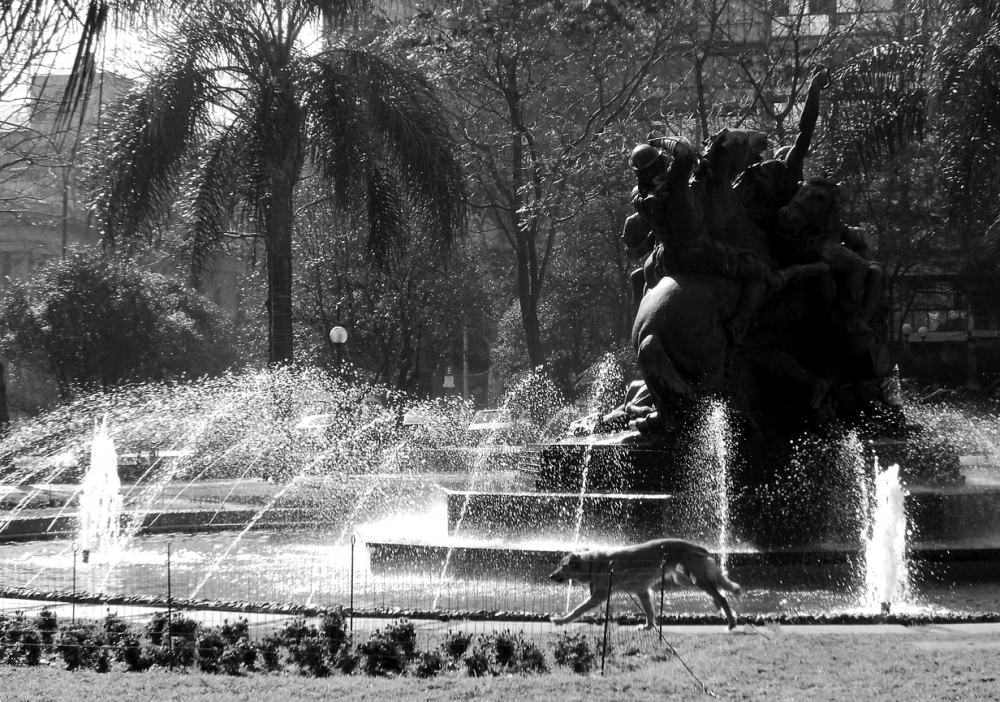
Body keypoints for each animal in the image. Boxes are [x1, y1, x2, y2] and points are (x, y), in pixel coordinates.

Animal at [548, 540, 744, 632]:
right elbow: (649, 612)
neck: (593, 564)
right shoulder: (643, 591)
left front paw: (561, 620)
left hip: (696, 580)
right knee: (718, 591)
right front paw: (648, 627)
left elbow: (577, 610)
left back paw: (731, 623)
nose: (550, 576)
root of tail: (698, 546)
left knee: (722, 596)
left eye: (562, 566)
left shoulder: (600, 595)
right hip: (686, 579)